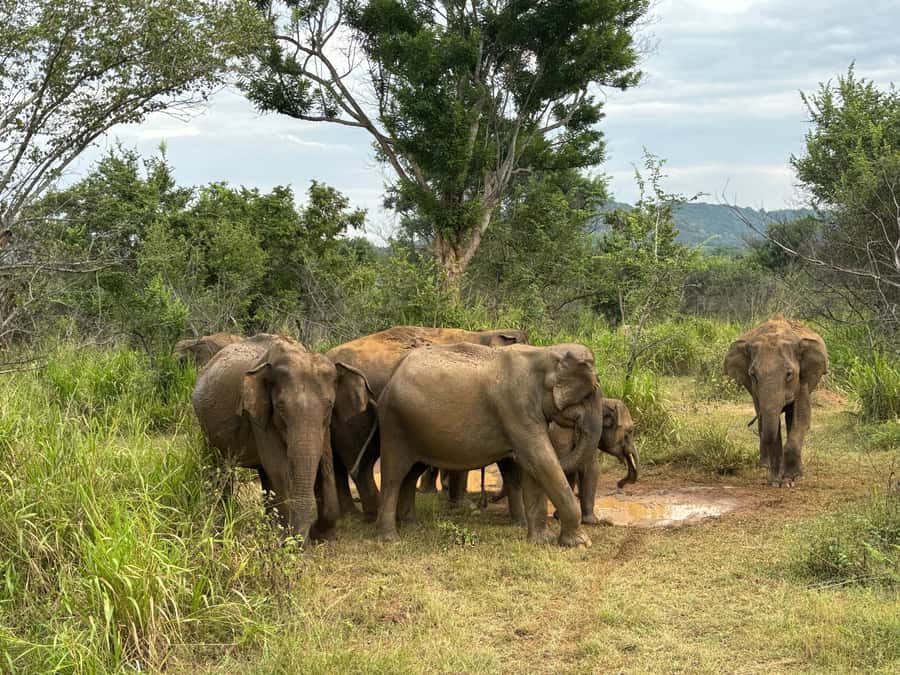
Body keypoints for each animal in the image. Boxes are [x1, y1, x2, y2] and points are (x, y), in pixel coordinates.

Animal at [192, 334, 340, 542]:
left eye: (329, 405)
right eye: (280, 406)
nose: (310, 533)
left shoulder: (324, 424)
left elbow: (327, 461)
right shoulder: (258, 415)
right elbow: (278, 467)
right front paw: (285, 541)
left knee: (263, 474)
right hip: (204, 425)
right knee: (223, 467)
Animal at [324, 325, 529, 519]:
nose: (488, 500)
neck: (486, 335)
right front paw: (464, 506)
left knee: (338, 464)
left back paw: (350, 513)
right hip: (352, 410)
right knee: (360, 464)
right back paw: (371, 512)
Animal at [375, 342, 602, 547]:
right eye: (589, 394)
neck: (546, 352)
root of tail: (393, 375)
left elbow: (533, 468)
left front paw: (542, 540)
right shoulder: (516, 407)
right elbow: (541, 461)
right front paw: (580, 543)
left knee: (411, 474)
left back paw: (412, 526)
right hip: (395, 425)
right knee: (394, 476)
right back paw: (391, 539)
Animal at [724, 317, 827, 487]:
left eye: (789, 374)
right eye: (753, 375)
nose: (778, 478)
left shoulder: (803, 380)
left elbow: (802, 418)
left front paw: (791, 479)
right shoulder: (756, 392)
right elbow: (771, 424)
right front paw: (775, 482)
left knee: (790, 418)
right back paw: (765, 466)